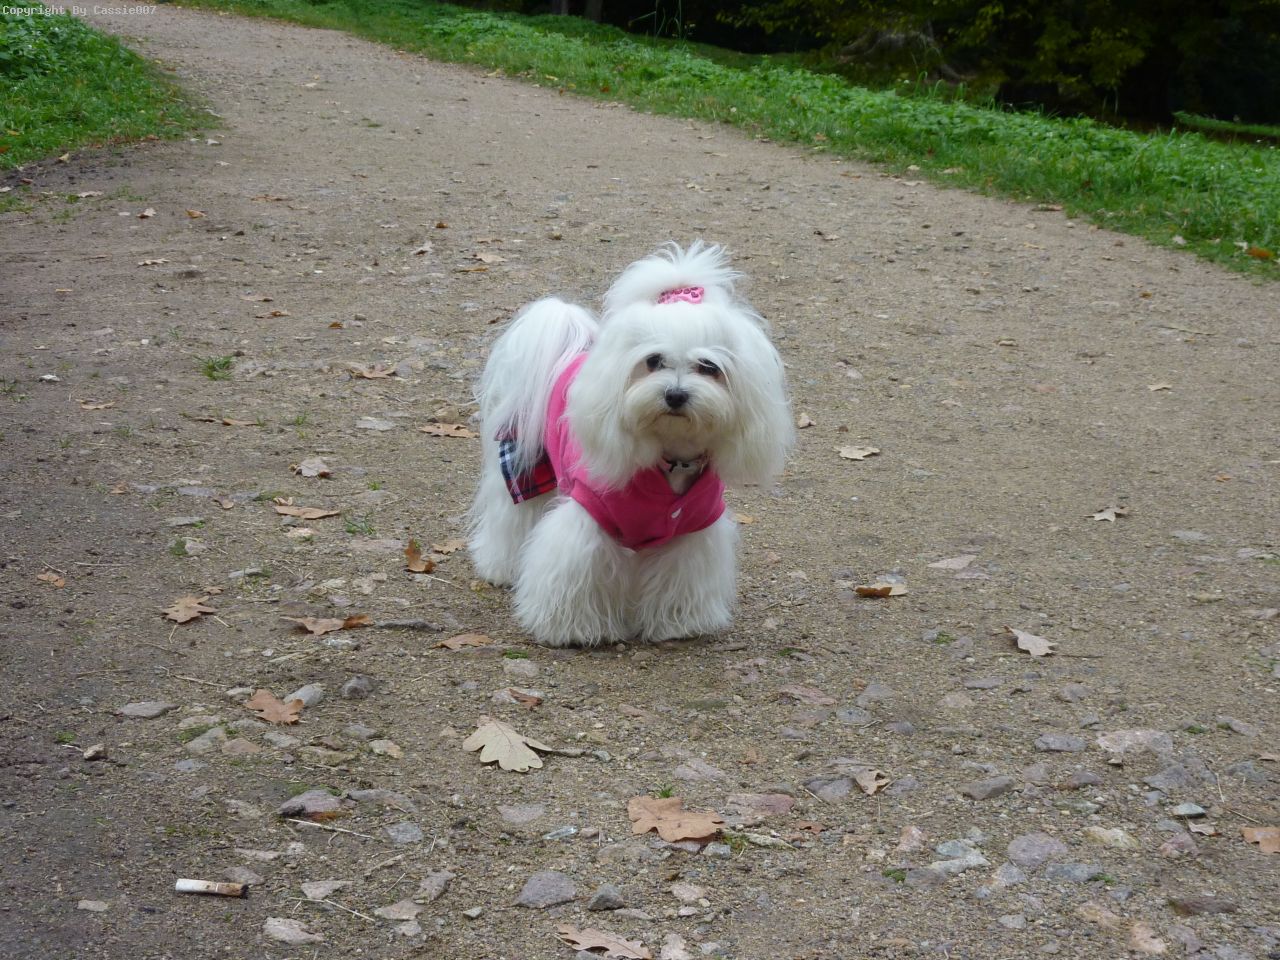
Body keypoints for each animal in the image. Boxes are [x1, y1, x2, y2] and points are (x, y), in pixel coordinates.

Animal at [467, 241, 792, 647]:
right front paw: (572, 628)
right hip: (524, 464)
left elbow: (680, 574)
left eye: (709, 367)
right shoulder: (589, 513)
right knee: (513, 517)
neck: (670, 457)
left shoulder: (692, 528)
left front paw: (677, 623)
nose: (675, 395)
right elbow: (574, 568)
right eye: (653, 361)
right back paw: (501, 567)